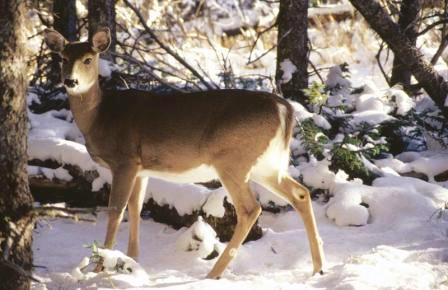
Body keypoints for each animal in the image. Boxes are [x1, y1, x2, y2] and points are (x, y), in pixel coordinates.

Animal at [44, 27, 326, 278]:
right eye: (64, 58)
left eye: (88, 59)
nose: (70, 81)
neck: (99, 117)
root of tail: (285, 109)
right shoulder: (141, 168)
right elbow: (136, 207)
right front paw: (132, 260)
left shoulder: (124, 160)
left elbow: (116, 210)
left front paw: (101, 266)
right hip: (265, 165)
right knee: (301, 193)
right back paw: (318, 267)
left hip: (233, 160)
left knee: (250, 209)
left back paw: (213, 274)